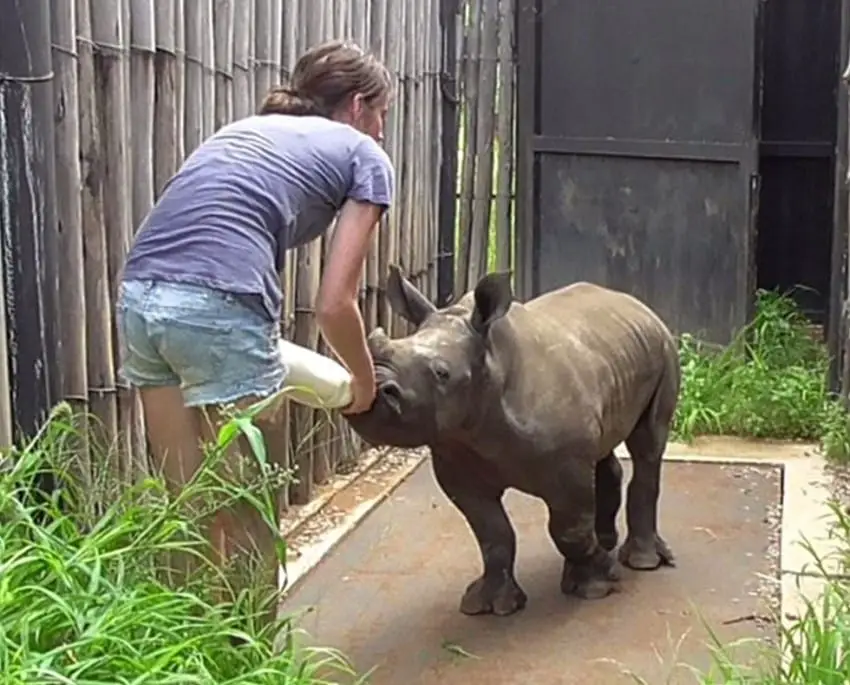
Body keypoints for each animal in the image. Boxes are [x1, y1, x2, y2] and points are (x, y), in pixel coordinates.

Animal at [342, 266, 680, 616]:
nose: (373, 389)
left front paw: (598, 584)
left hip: (664, 348)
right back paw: (607, 542)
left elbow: (568, 529)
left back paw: (641, 562)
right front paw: (490, 605)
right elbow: (492, 532)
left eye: (442, 373)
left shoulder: (567, 465)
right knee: (604, 447)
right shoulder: (457, 459)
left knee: (647, 445)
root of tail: (637, 304)